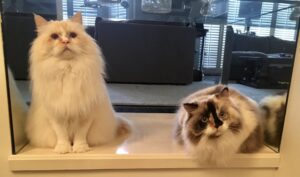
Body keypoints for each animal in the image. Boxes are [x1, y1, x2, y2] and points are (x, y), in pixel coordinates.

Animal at [25, 12, 129, 153]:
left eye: (73, 35)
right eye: (54, 36)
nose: (65, 41)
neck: (68, 69)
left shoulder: (86, 114)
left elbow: (80, 135)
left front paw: (80, 149)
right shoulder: (56, 115)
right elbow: (62, 135)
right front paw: (63, 149)